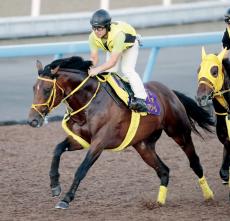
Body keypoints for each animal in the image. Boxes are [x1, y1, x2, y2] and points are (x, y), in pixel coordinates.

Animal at [27, 55, 215, 209]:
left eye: (46, 90)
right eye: (34, 88)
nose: (32, 120)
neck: (90, 102)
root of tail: (170, 92)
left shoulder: (99, 143)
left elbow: (81, 169)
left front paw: (66, 199)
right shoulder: (81, 140)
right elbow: (57, 150)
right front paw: (55, 185)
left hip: (179, 133)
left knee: (195, 163)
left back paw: (209, 195)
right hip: (144, 146)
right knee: (164, 170)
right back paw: (158, 202)